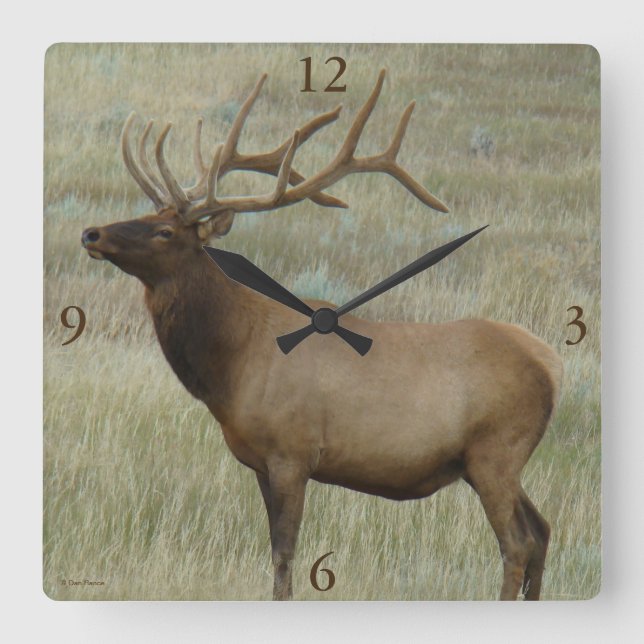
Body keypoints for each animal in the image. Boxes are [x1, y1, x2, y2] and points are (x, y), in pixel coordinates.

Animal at [81, 70, 563, 601]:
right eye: (147, 215)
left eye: (165, 231)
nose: (92, 234)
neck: (232, 365)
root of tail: (551, 364)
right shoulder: (260, 462)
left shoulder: (292, 452)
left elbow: (284, 554)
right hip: (492, 462)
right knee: (542, 530)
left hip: (497, 450)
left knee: (517, 542)